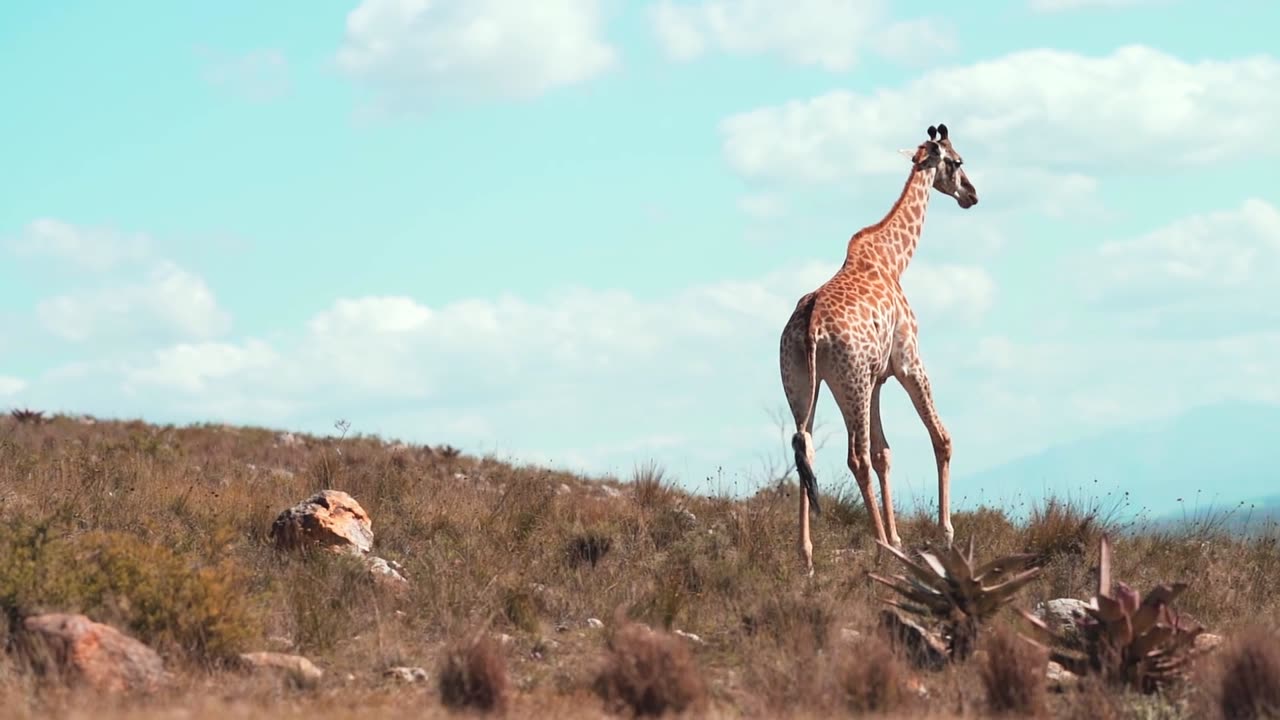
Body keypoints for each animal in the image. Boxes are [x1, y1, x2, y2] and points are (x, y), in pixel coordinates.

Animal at [778, 121, 977, 571]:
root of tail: (811, 328)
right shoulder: (907, 361)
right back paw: (881, 545)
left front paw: (900, 538)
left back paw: (807, 557)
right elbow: (941, 437)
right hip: (848, 382)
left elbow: (886, 452)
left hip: (805, 385)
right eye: (957, 161)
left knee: (805, 449)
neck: (894, 259)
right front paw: (944, 535)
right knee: (856, 456)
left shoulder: (878, 379)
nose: (972, 195)